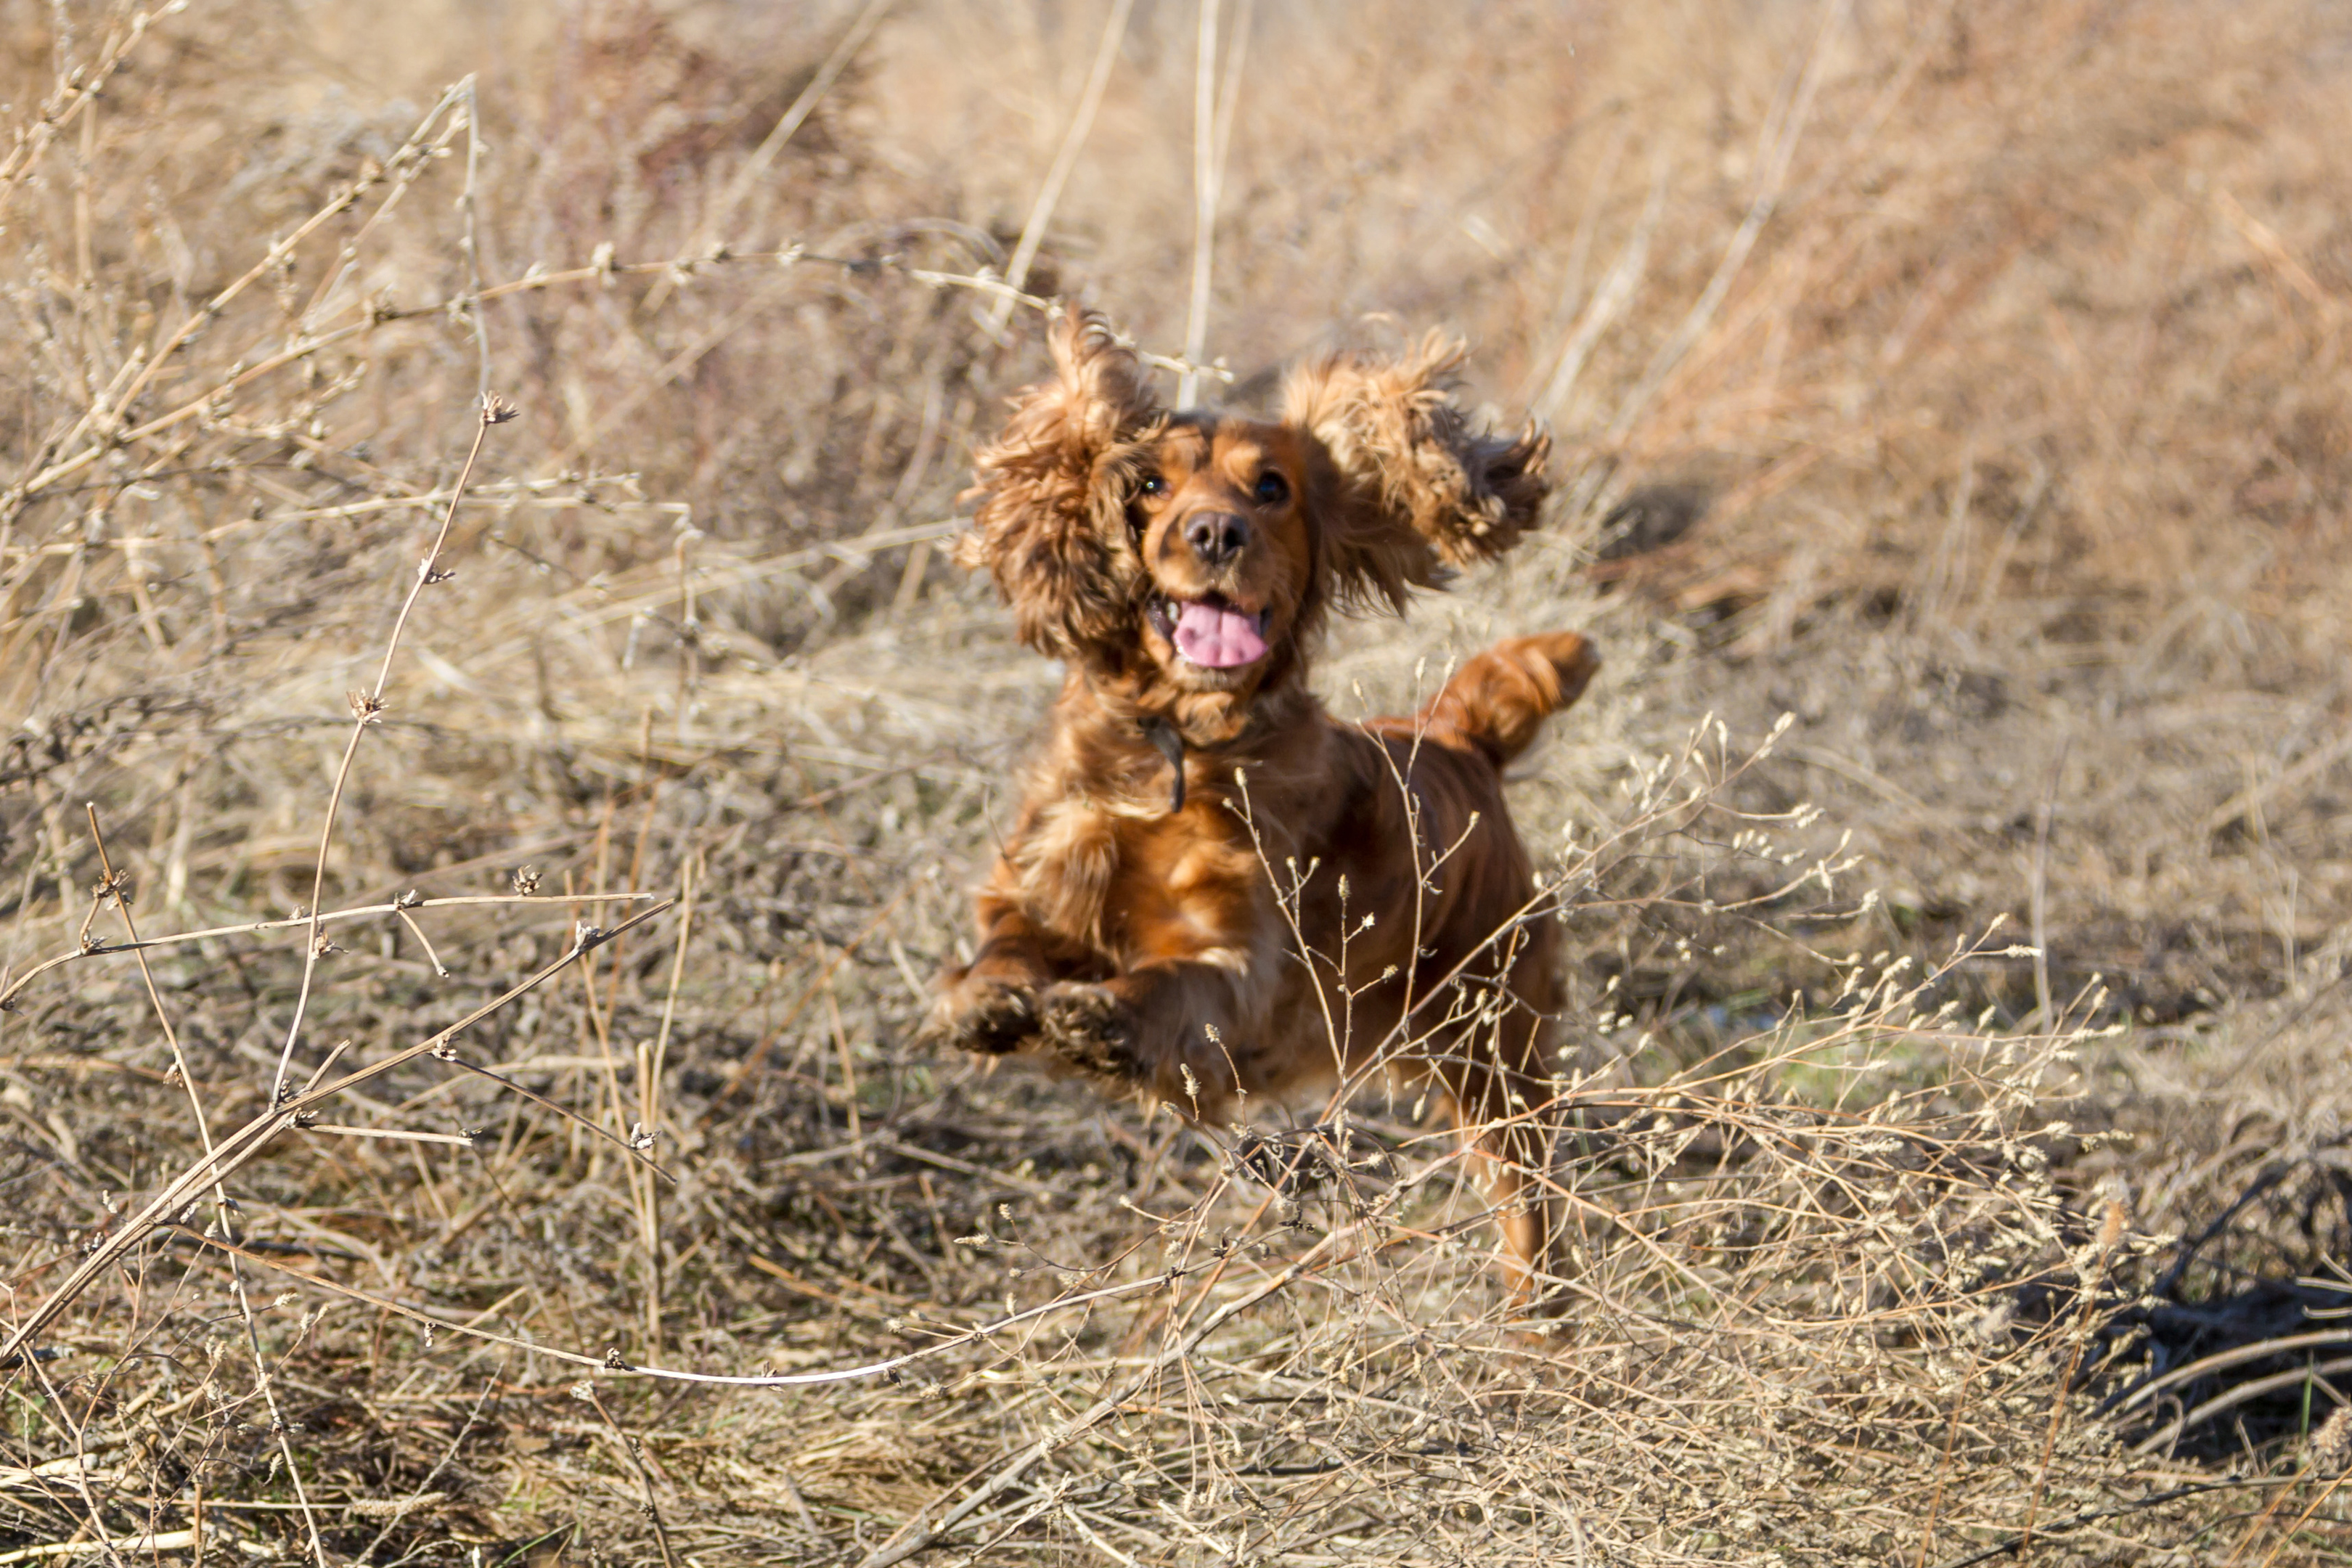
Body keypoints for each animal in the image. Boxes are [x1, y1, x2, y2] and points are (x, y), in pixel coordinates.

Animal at [936, 310, 1599, 1297]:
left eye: (1273, 487)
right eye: (1150, 483)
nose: (1216, 532)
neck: (1177, 750)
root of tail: (1458, 733)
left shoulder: (1240, 966)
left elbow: (1176, 985)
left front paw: (1104, 1017)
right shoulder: (1039, 885)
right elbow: (1005, 946)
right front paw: (986, 999)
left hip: (1497, 1056)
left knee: (1530, 1217)